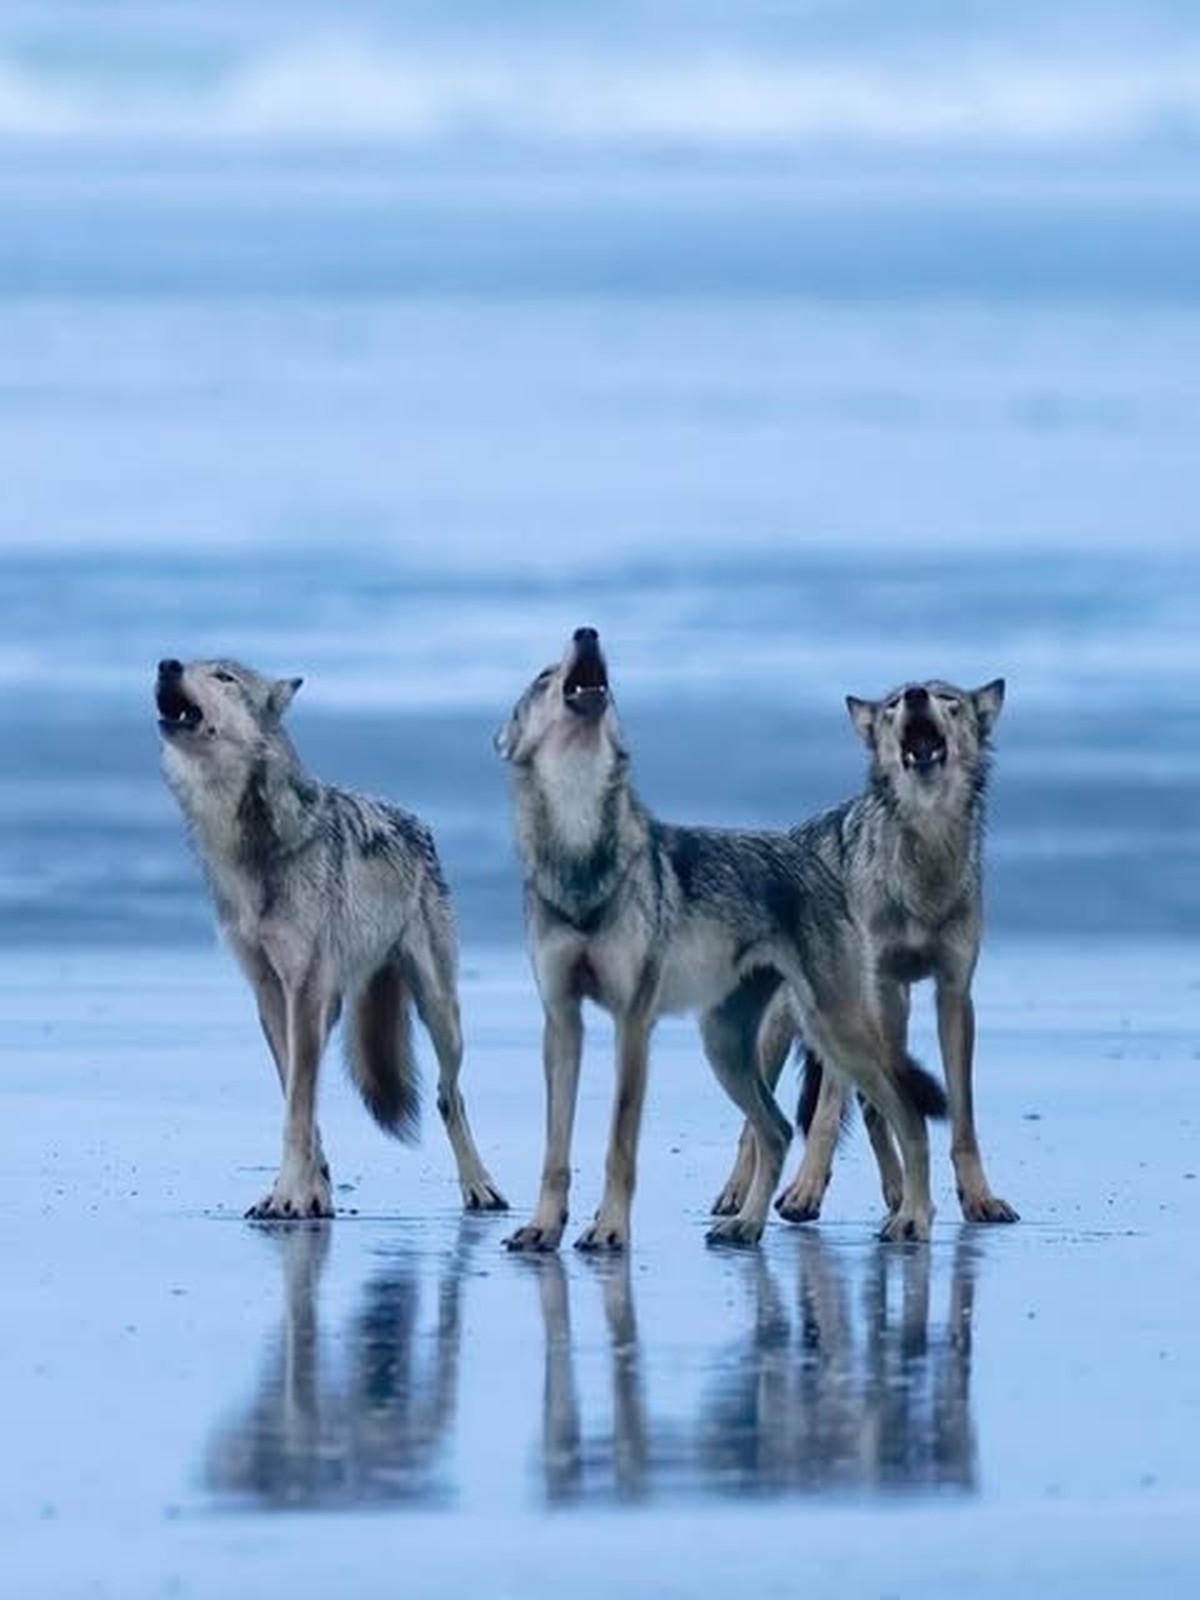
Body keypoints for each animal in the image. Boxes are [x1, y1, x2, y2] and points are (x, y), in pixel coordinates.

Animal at [155, 656, 506, 1220]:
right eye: (186, 663)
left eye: (224, 677)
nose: (166, 664)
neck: (249, 846)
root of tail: (417, 820)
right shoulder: (272, 995)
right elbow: (298, 1102)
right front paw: (306, 1194)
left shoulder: (304, 990)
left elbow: (297, 1110)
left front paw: (288, 1195)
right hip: (341, 1007)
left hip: (440, 1011)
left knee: (448, 1095)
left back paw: (480, 1186)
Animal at [494, 628, 947, 1253]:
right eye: (543, 676)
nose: (587, 632)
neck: (580, 852)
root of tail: (812, 854)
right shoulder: (561, 1023)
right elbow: (555, 1151)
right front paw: (543, 1227)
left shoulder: (633, 1023)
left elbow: (619, 1143)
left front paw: (609, 1229)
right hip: (727, 1047)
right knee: (776, 1130)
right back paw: (746, 1224)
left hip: (835, 1034)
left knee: (908, 1116)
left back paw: (913, 1219)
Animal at [712, 678, 1016, 1229]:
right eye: (893, 705)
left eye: (948, 699)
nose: (915, 694)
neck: (922, 870)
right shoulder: (860, 990)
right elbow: (827, 1113)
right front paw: (804, 1192)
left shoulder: (953, 994)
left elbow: (959, 1117)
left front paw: (978, 1198)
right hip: (785, 1030)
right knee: (756, 1125)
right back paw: (737, 1198)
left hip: (888, 1010)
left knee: (879, 1106)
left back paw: (898, 1194)